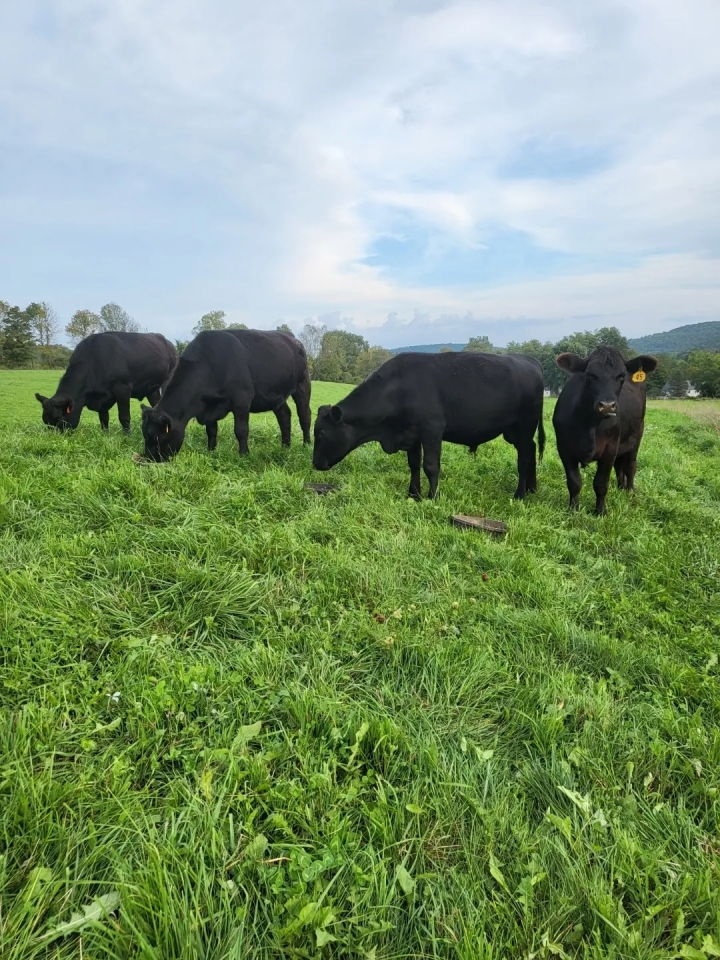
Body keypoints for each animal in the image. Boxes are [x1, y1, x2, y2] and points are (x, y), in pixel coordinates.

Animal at [35, 332, 177, 433]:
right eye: (46, 421)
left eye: (59, 420)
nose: (54, 439)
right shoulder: (101, 398)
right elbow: (103, 418)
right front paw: (105, 434)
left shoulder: (123, 389)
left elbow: (124, 417)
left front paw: (127, 436)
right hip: (152, 389)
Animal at [140, 328, 312, 462]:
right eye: (145, 435)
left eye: (156, 436)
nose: (149, 459)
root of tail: (291, 337)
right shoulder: (208, 406)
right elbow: (211, 431)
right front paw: (211, 451)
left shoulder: (242, 399)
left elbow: (241, 430)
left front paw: (244, 455)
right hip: (276, 394)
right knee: (284, 416)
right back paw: (285, 446)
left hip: (303, 384)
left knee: (305, 415)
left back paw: (306, 445)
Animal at [312, 351, 545, 500]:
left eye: (322, 432)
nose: (314, 463)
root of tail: (529, 360)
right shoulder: (411, 434)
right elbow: (414, 464)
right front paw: (413, 494)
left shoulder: (432, 429)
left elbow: (431, 466)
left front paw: (433, 497)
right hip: (513, 431)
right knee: (531, 449)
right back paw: (532, 488)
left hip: (525, 425)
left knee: (524, 457)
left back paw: (520, 494)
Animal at [552, 346, 658, 515]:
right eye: (590, 374)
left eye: (622, 375)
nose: (607, 406)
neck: (589, 424)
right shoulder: (564, 448)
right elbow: (574, 482)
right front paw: (573, 510)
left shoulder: (610, 447)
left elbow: (601, 483)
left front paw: (600, 511)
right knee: (620, 466)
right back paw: (621, 488)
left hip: (637, 435)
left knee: (631, 465)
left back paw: (630, 492)